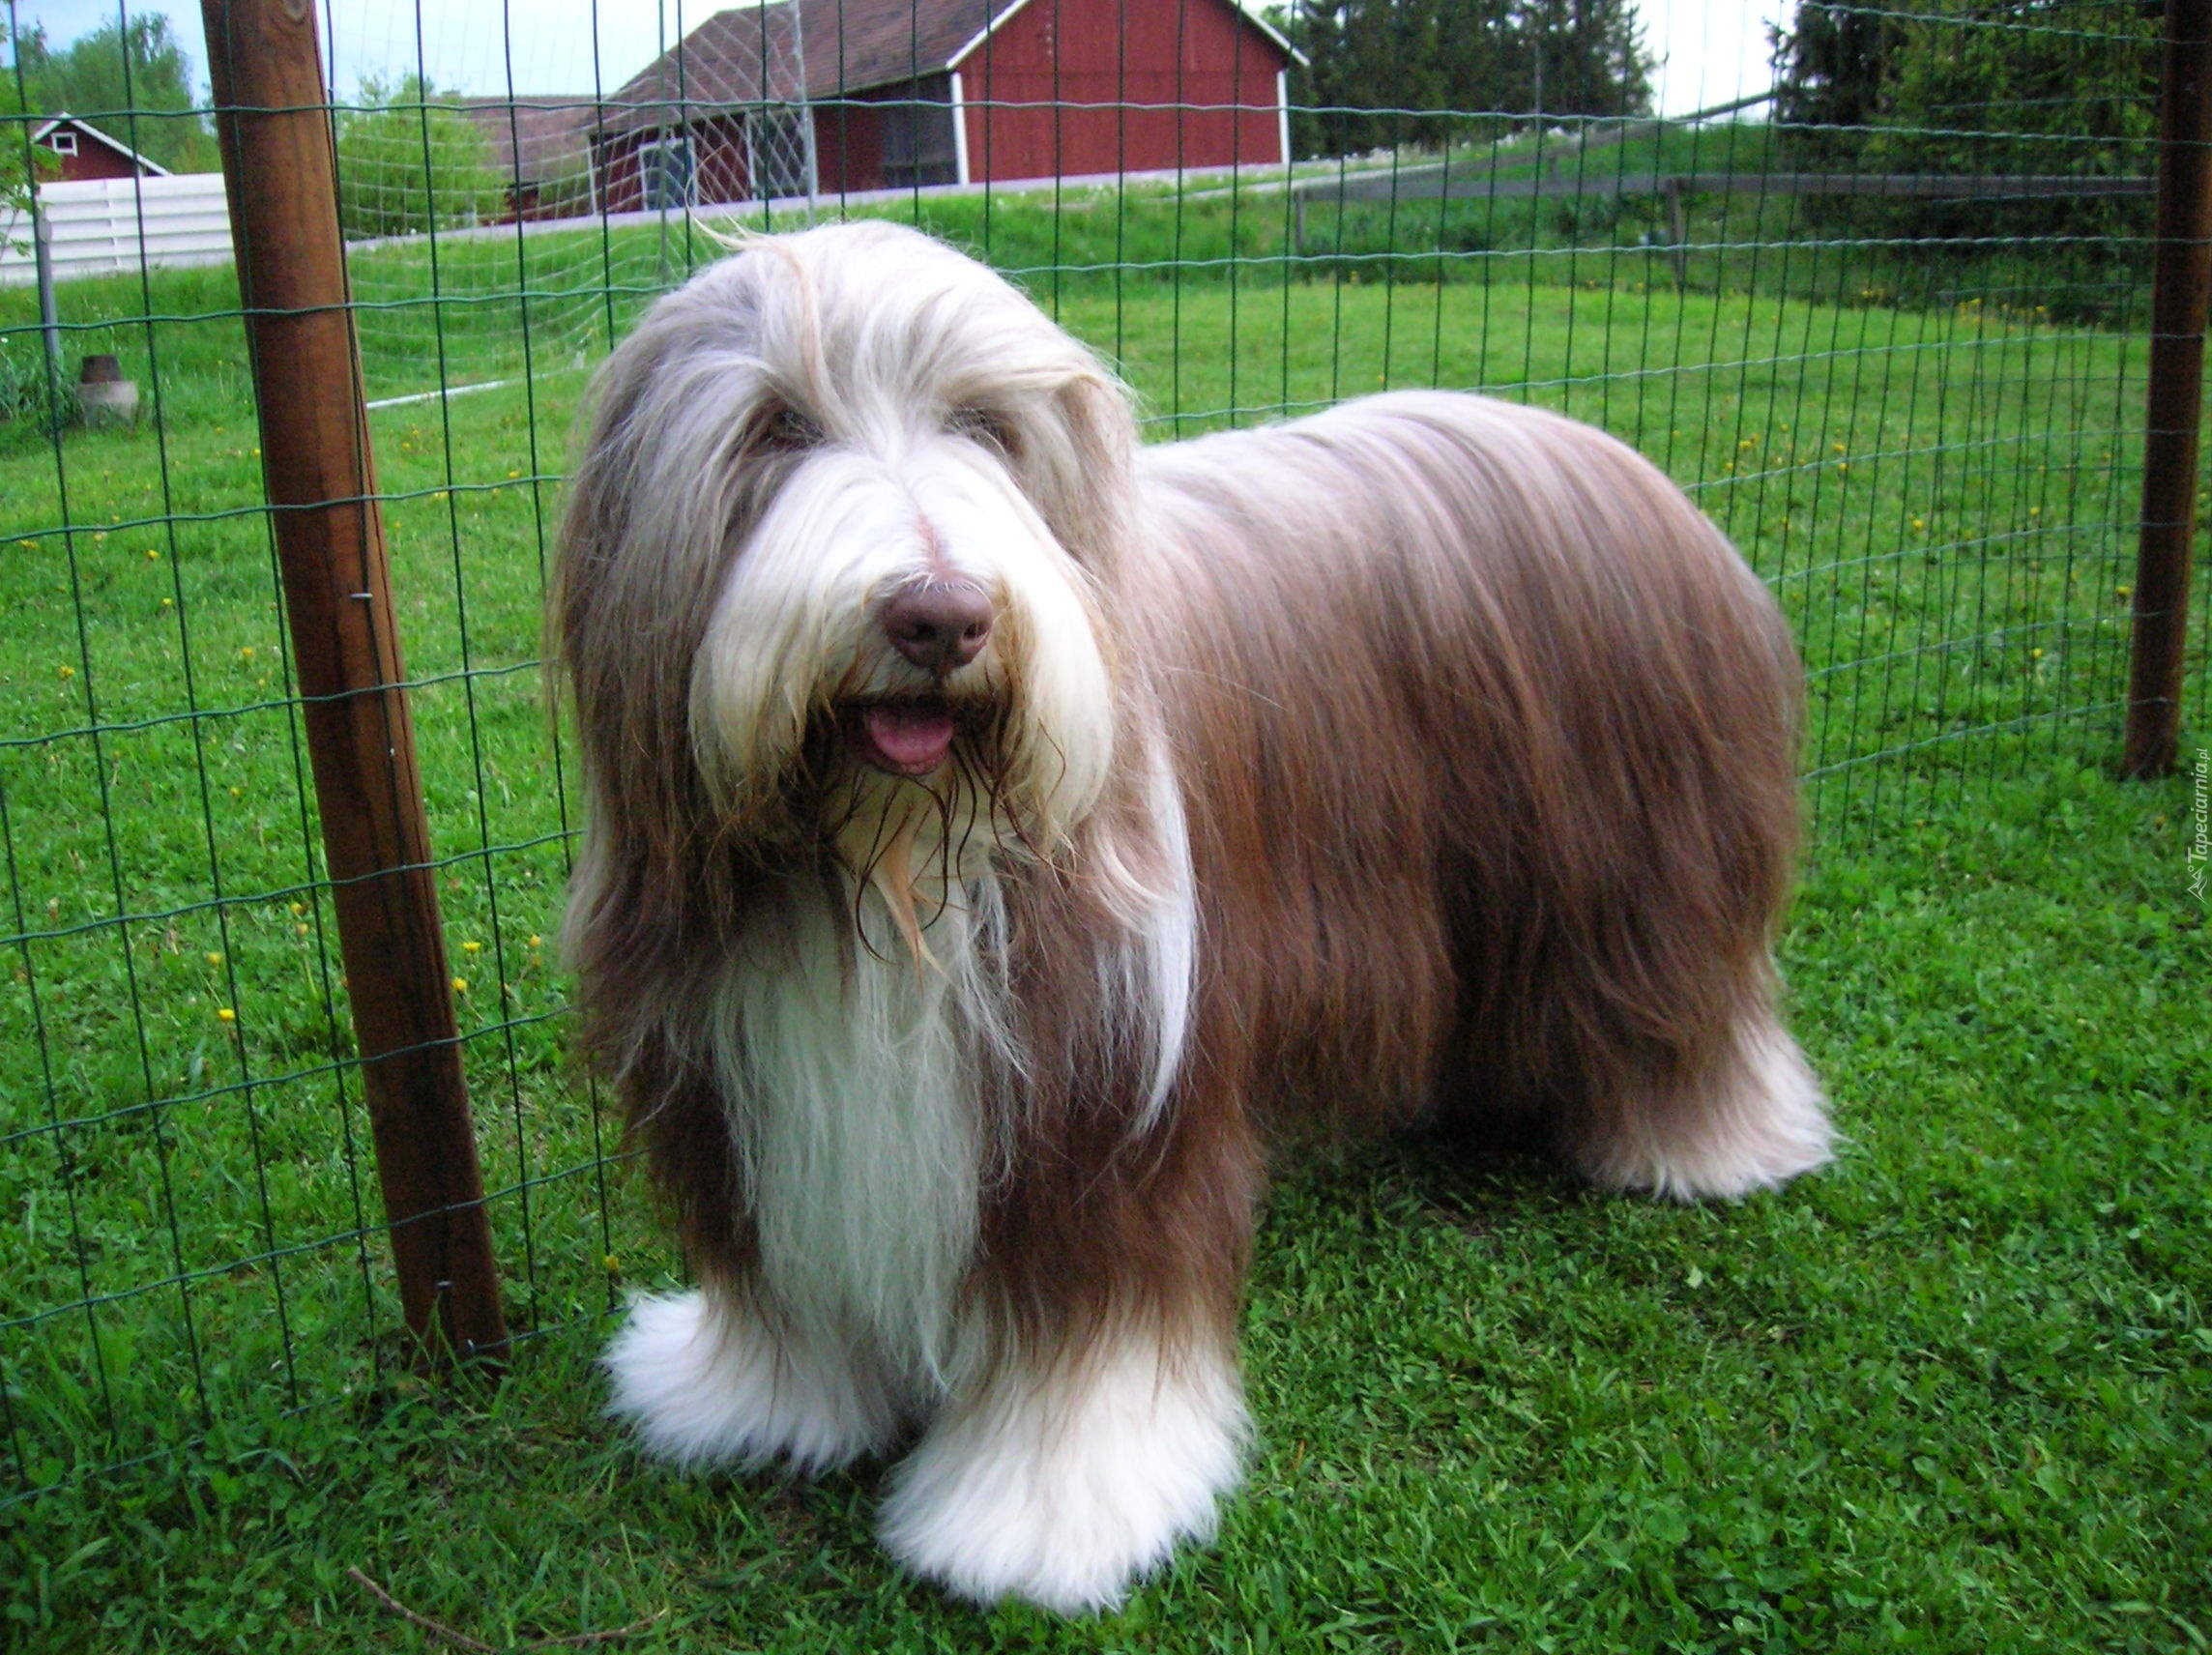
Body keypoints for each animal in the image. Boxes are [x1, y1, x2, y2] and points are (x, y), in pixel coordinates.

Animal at [553, 213, 1831, 1611]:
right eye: (776, 426)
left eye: (986, 426)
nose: (940, 616)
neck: (892, 869)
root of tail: (1618, 460)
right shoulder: (747, 1080)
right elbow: (784, 1273)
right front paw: (762, 1401)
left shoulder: (1106, 1102)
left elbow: (1092, 1325)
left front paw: (1048, 1511)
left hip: (1638, 877)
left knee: (1683, 1009)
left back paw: (1706, 1145)